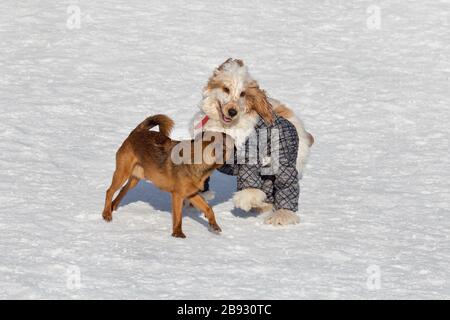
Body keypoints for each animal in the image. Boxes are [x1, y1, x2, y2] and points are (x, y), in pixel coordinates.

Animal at [102, 114, 234, 238]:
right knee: (109, 191)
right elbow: (178, 216)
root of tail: (137, 132)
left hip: (135, 178)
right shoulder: (178, 195)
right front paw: (177, 233)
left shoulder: (191, 194)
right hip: (122, 173)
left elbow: (208, 208)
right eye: (233, 150)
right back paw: (106, 214)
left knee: (123, 190)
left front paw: (214, 225)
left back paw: (113, 206)